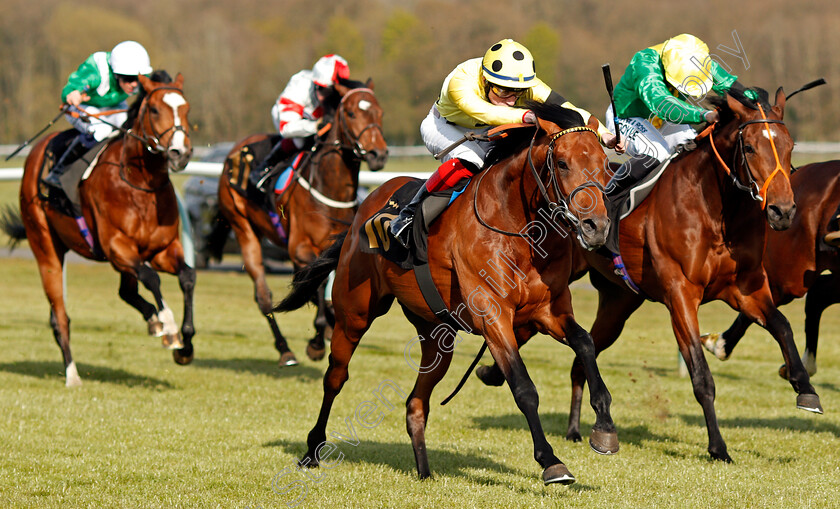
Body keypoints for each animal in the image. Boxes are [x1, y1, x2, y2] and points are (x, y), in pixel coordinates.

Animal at [6, 73, 194, 386]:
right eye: (155, 110)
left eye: (187, 108)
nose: (181, 153)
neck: (139, 184)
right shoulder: (117, 247)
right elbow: (152, 278)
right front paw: (169, 327)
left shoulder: (161, 249)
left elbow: (187, 276)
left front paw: (185, 346)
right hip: (46, 248)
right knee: (60, 316)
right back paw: (72, 375)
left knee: (126, 292)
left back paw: (151, 320)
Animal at [213, 78, 390, 366]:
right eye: (352, 113)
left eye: (380, 112)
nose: (379, 154)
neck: (330, 191)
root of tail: (235, 150)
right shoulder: (300, 248)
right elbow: (315, 286)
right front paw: (317, 341)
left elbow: (322, 288)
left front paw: (328, 327)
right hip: (242, 227)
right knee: (263, 296)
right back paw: (285, 349)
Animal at [278, 102, 620, 484]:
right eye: (561, 163)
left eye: (605, 164)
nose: (596, 226)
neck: (517, 227)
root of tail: (361, 212)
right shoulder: (493, 315)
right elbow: (524, 387)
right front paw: (551, 461)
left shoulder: (548, 311)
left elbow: (585, 343)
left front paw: (604, 428)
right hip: (354, 314)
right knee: (335, 376)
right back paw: (312, 450)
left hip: (436, 336)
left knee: (416, 402)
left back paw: (424, 471)